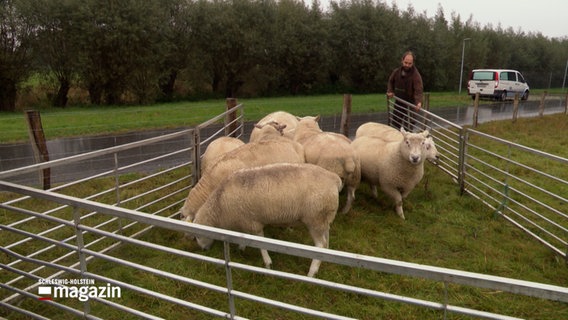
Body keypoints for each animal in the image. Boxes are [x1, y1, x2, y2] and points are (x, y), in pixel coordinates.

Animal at [190, 162, 342, 278]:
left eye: (197, 235)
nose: (204, 250)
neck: (219, 206)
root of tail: (333, 178)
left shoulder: (253, 223)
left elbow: (260, 243)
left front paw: (268, 263)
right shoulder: (245, 220)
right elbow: (244, 236)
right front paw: (241, 248)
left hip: (314, 218)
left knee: (320, 244)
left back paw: (312, 272)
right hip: (323, 217)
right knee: (326, 236)